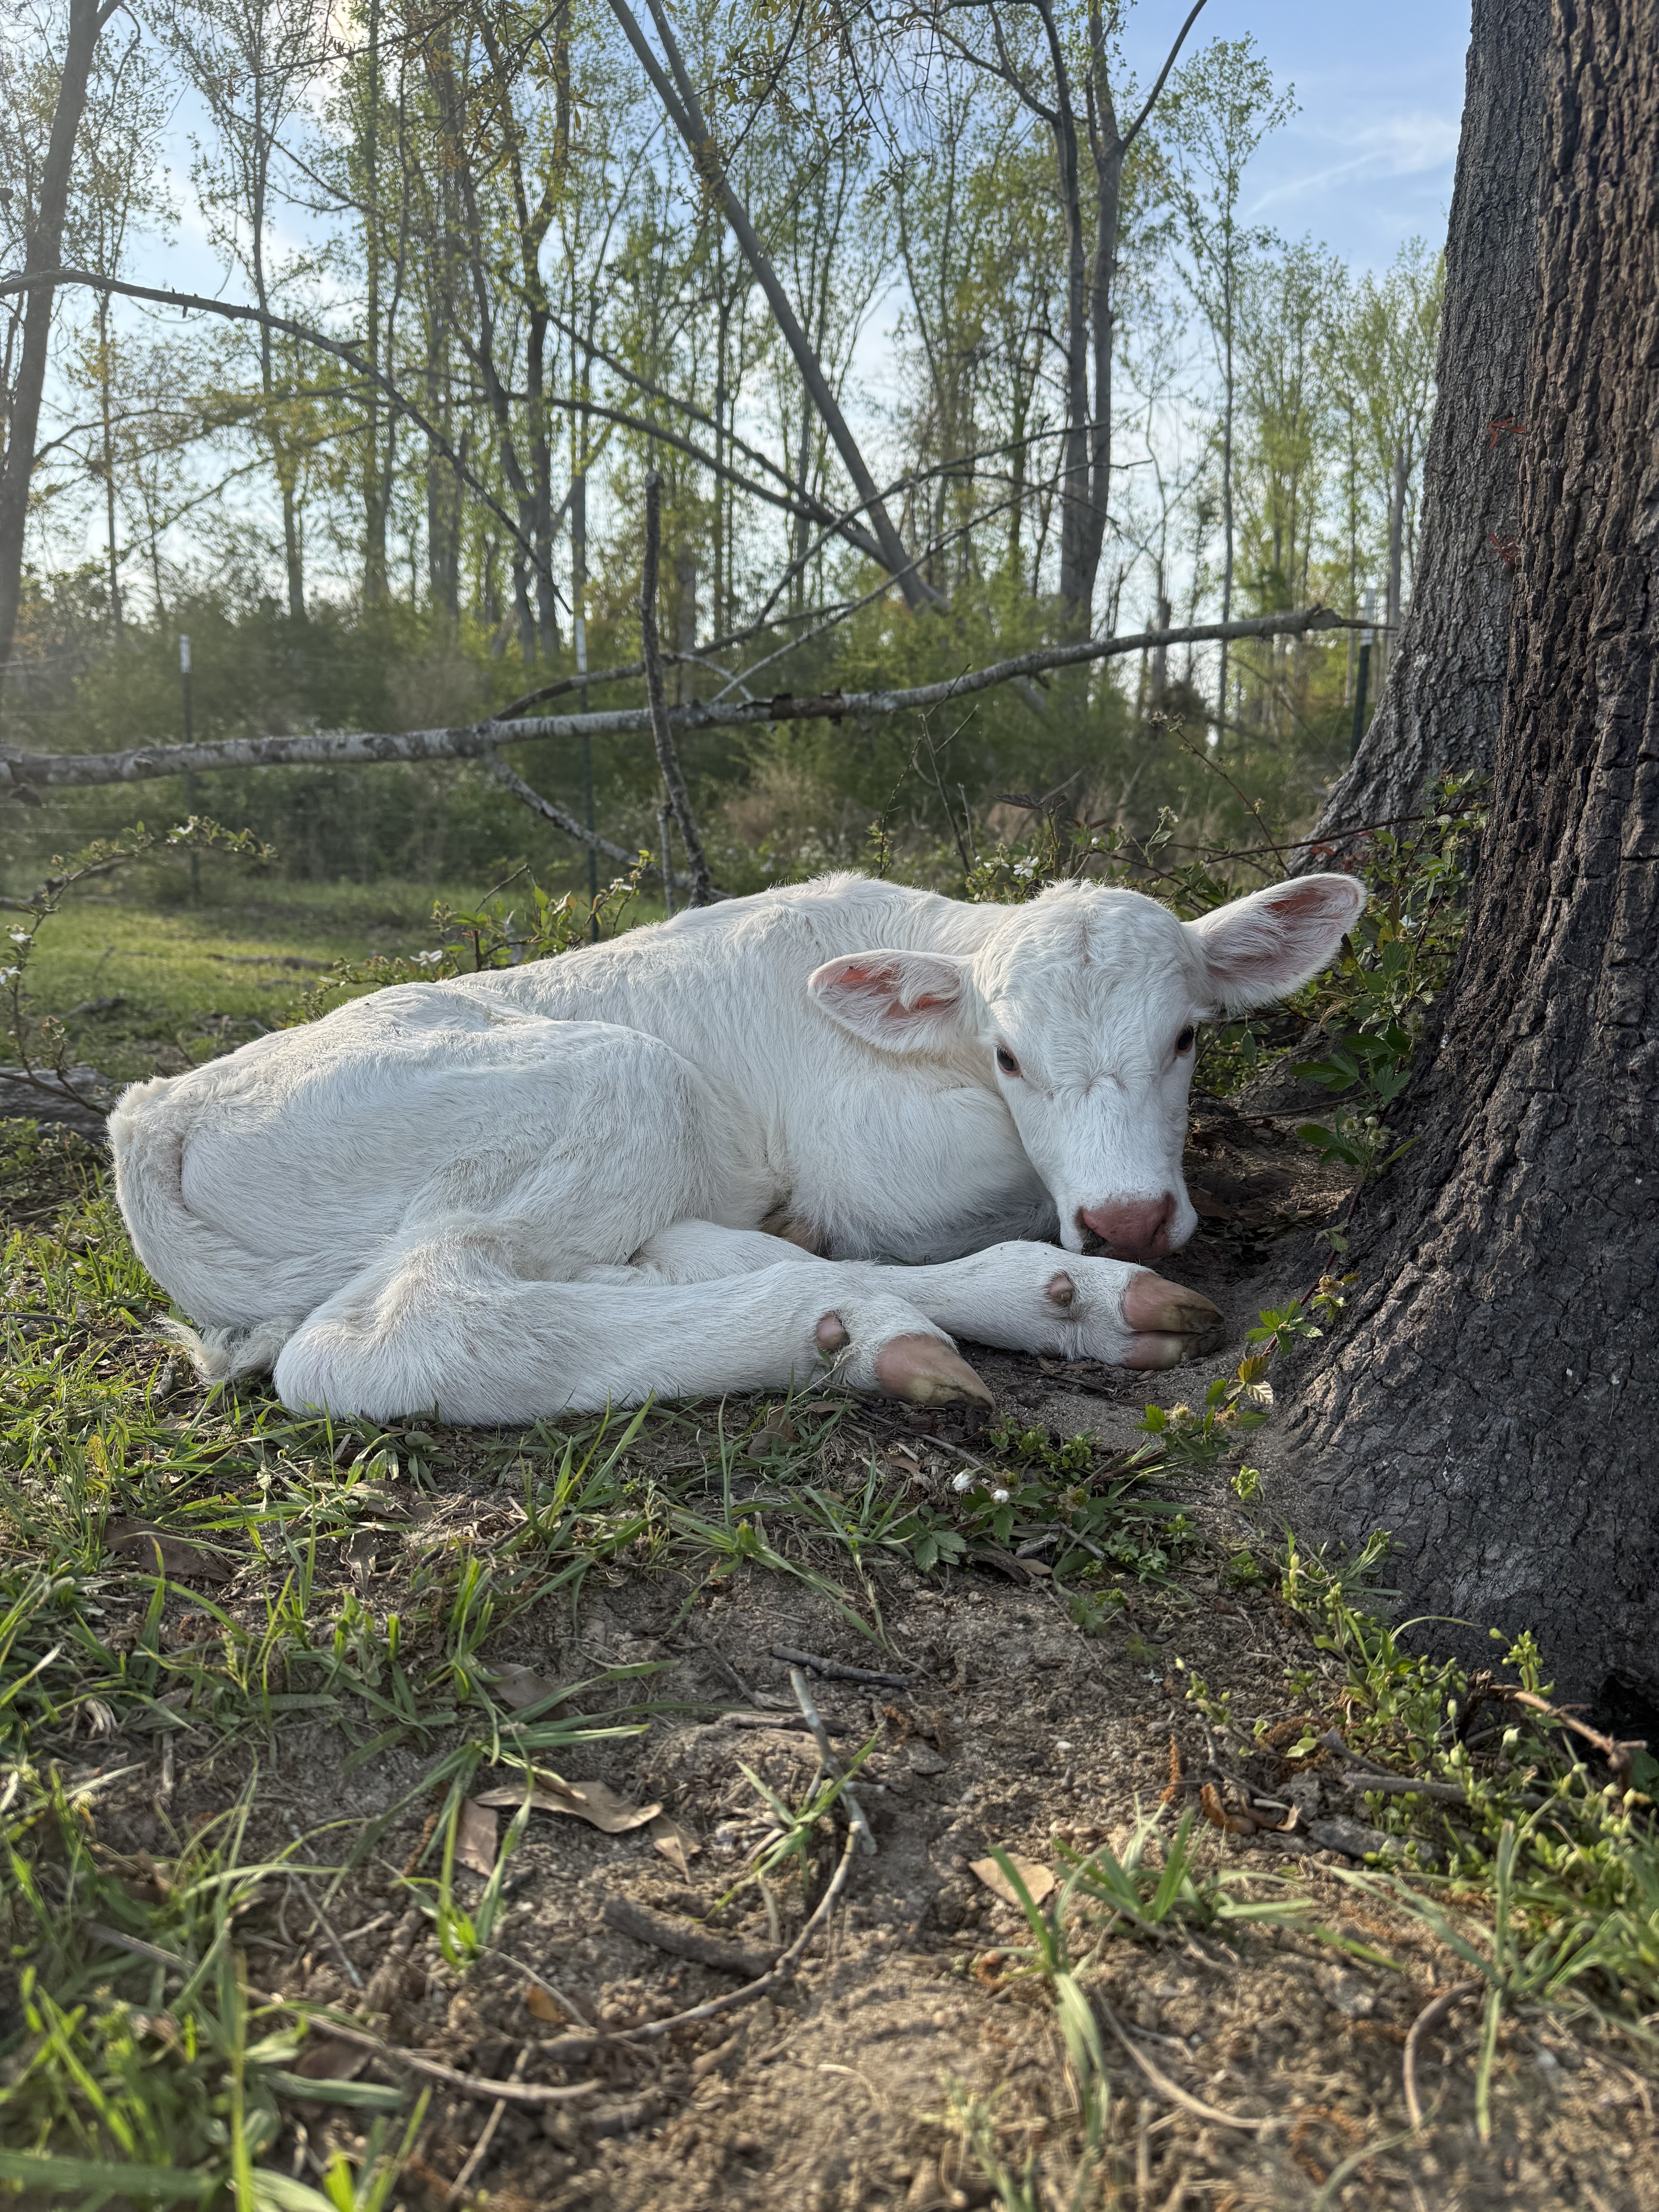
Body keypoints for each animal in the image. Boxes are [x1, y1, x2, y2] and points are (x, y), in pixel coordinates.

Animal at [108, 868, 1365, 1425]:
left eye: (1186, 1035)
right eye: (1010, 1055)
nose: (1128, 1220)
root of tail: (153, 1109)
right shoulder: (880, 1169)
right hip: (606, 1082)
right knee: (399, 1329)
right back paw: (844, 1328)